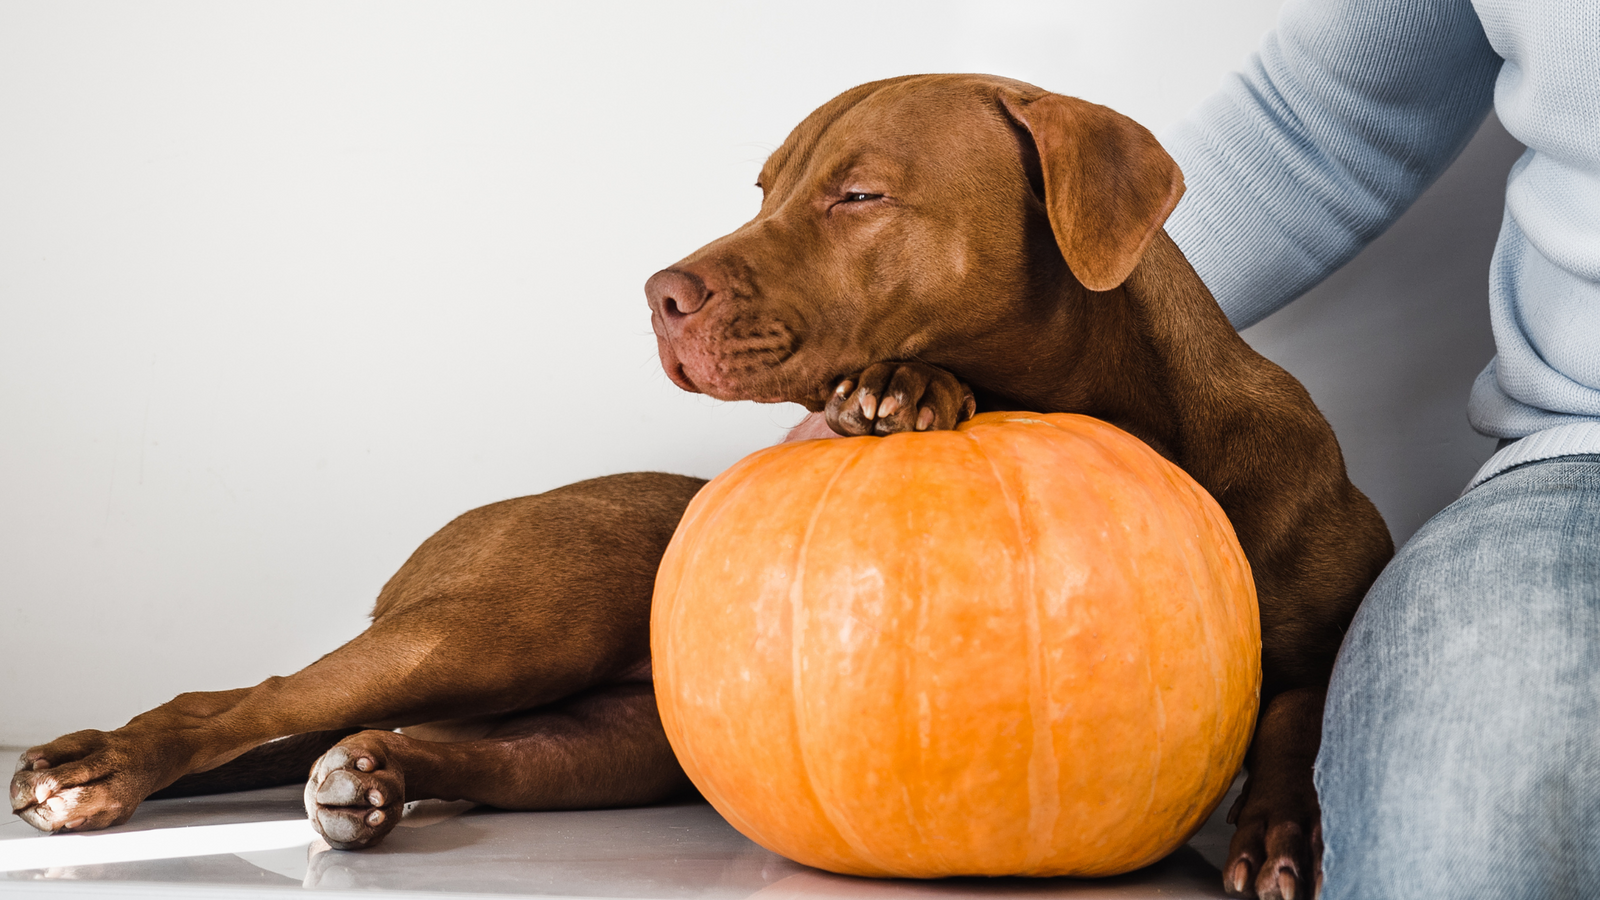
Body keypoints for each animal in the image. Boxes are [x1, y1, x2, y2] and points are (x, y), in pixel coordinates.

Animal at [9, 75, 1388, 896]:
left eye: (858, 193)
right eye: (765, 184)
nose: (657, 294)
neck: (1144, 415)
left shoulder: (1325, 635)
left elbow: (1298, 716)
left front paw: (1281, 834)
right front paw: (904, 389)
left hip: (606, 744)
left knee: (470, 751)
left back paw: (372, 777)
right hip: (501, 621)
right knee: (243, 698)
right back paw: (94, 770)